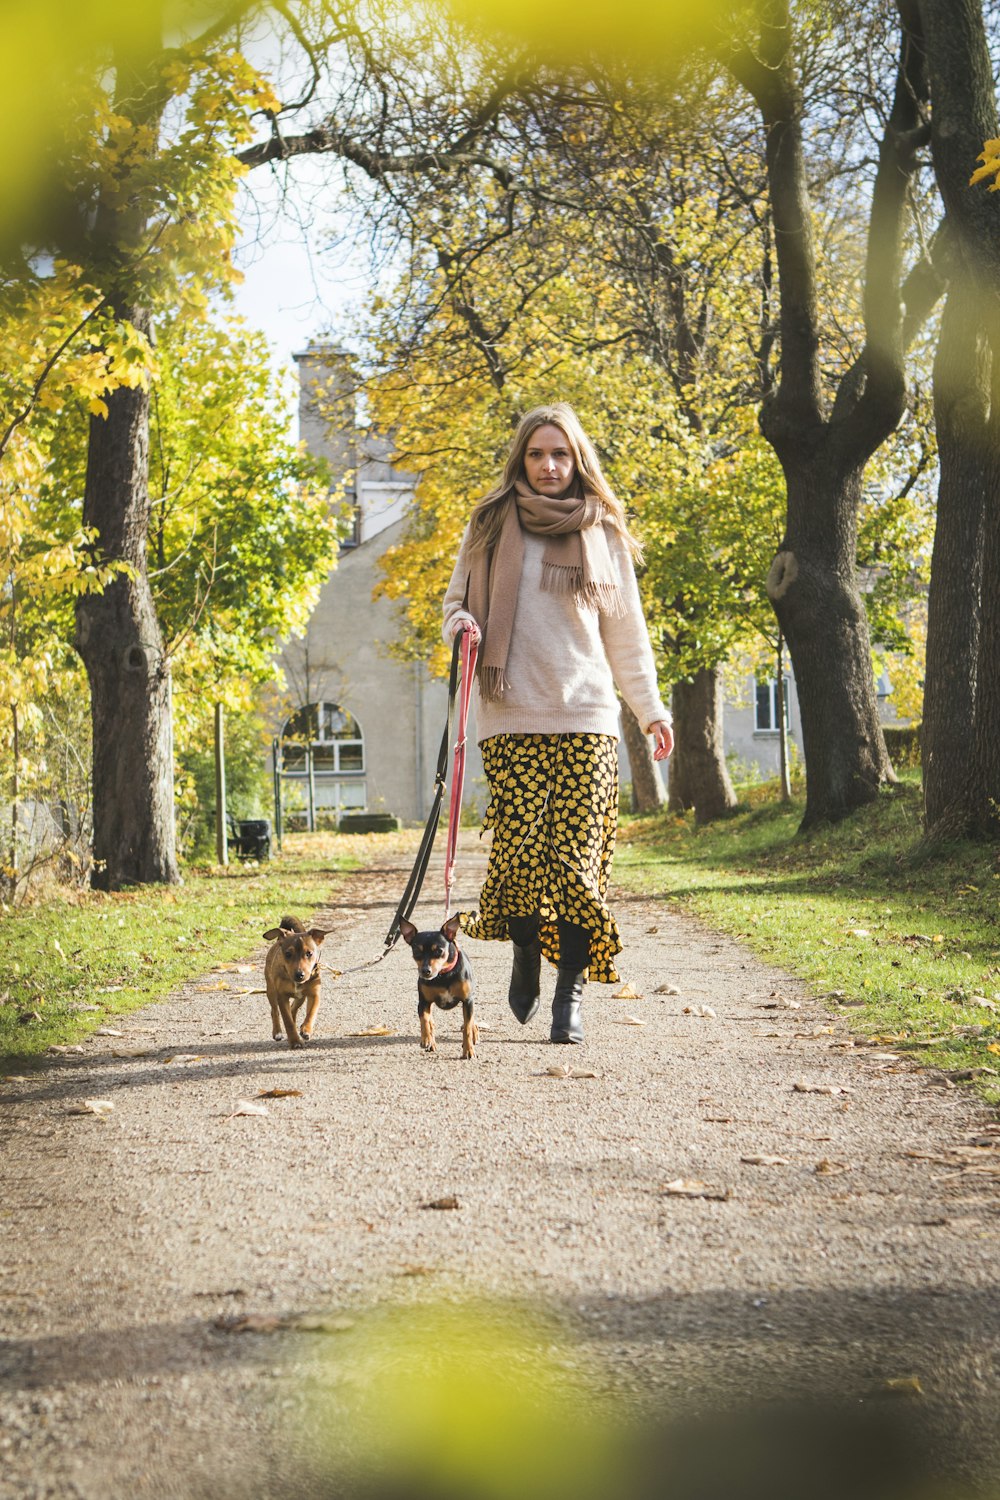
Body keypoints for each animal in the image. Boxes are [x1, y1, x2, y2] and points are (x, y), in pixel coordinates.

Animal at [262, 906, 332, 1050]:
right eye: (288, 954)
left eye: (309, 953)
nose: (299, 974)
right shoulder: (281, 996)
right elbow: (287, 1020)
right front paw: (294, 1041)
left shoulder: (314, 994)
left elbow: (311, 1013)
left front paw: (306, 1029)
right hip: (271, 989)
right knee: (274, 1010)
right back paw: (277, 1032)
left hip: (301, 997)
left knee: (293, 1008)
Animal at [398, 906, 476, 1062]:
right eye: (416, 951)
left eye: (439, 951)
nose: (425, 971)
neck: (443, 976)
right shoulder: (423, 1002)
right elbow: (425, 1020)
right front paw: (427, 1039)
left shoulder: (467, 1000)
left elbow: (467, 1028)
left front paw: (468, 1050)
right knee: (430, 1021)